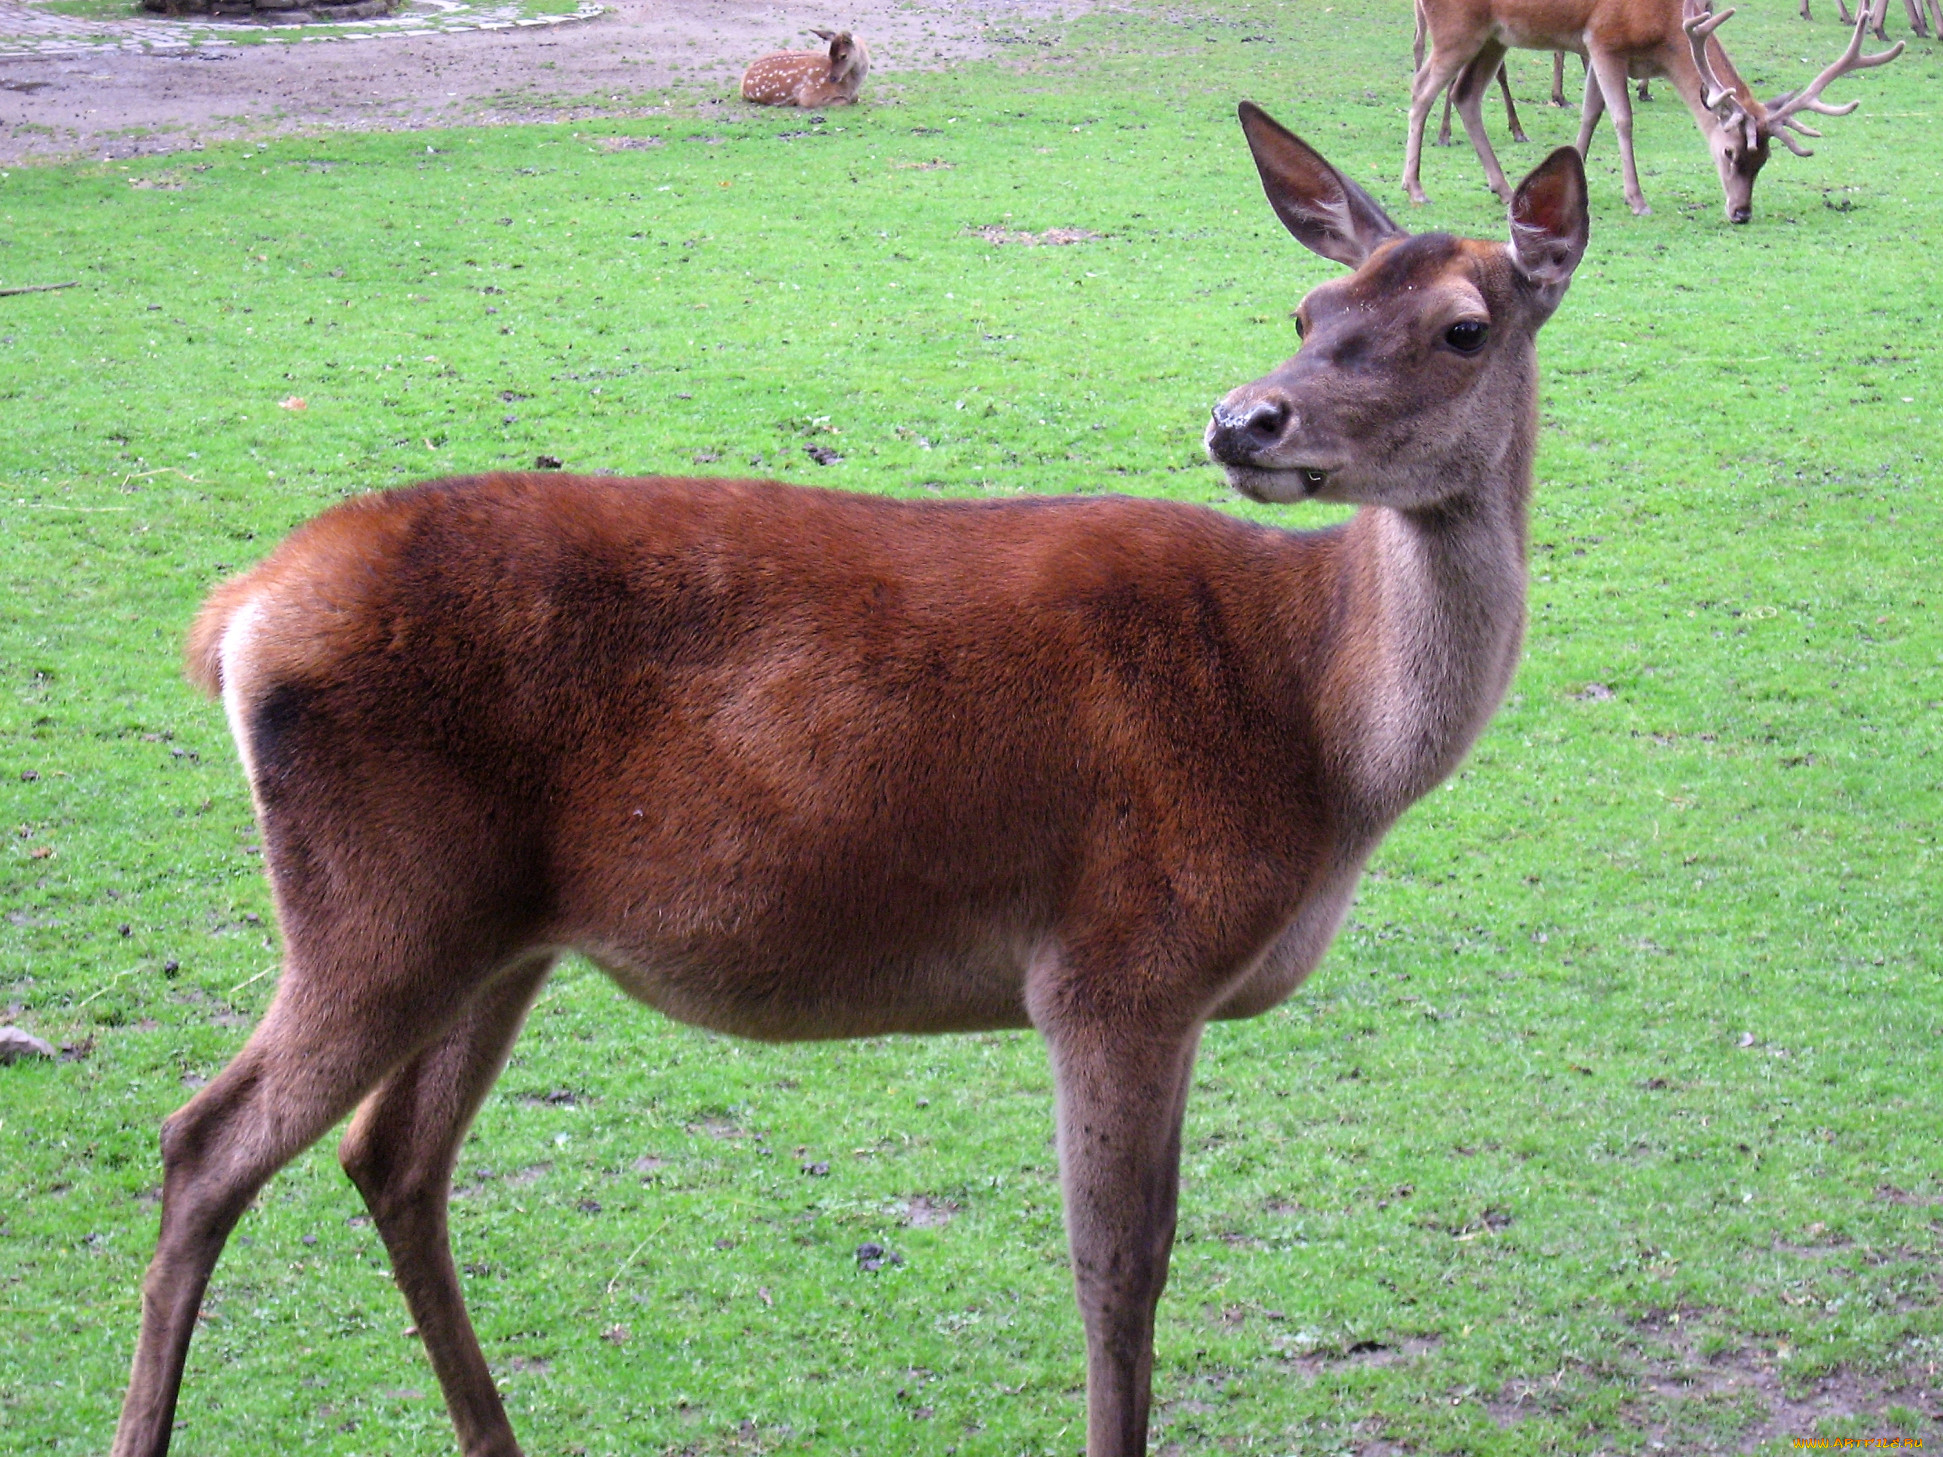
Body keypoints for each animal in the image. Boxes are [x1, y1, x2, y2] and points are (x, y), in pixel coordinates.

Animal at [110, 102, 1593, 1457]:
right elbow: (1119, 1272)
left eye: (1463, 327)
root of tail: (234, 618)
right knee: (204, 1140)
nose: (1245, 419)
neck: (1324, 744)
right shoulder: (1117, 965)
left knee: (393, 1156)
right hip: (378, 907)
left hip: (493, 932)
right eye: (1307, 302)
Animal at [738, 28, 870, 108]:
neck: (849, 87)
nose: (832, 78)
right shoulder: (808, 97)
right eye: (829, 54)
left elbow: (855, 98)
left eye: (843, 55)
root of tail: (743, 81)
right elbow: (845, 101)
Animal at [1406, 0, 1904, 222]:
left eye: (1764, 158)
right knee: (1421, 91)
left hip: (1493, 36)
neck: (1667, 33)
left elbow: (1590, 113)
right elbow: (1621, 119)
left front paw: (1571, 183)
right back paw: (1416, 189)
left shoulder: (1598, 50)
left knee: (1465, 96)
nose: (1741, 212)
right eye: (1729, 152)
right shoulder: (1604, 40)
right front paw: (1637, 199)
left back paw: (1505, 189)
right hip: (1456, 28)